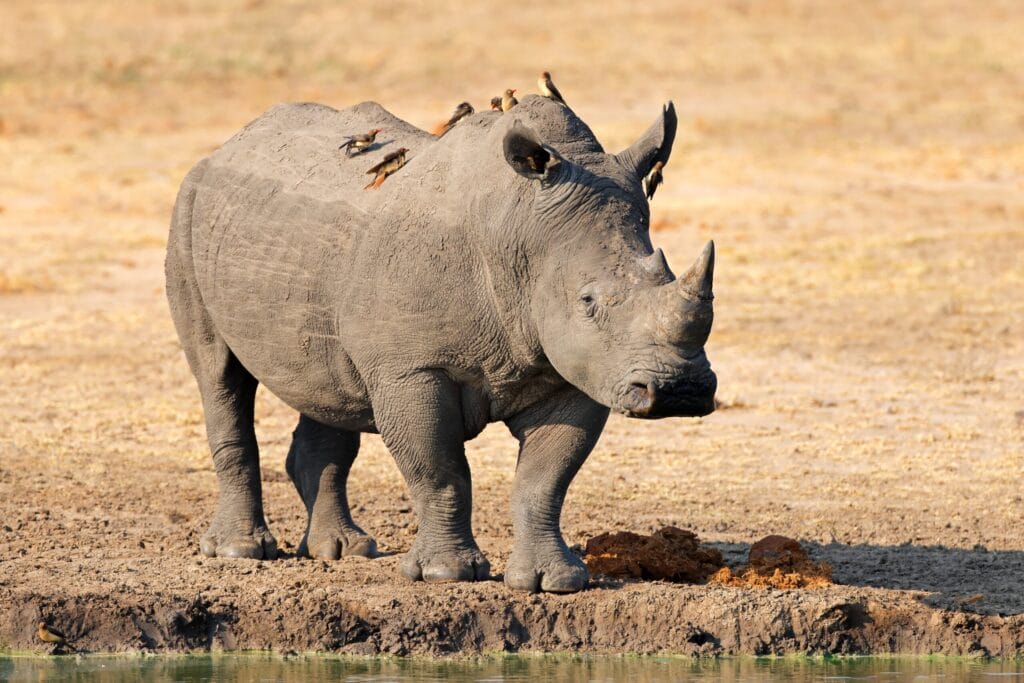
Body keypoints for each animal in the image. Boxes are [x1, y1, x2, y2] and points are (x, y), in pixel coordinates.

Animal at [165, 95, 717, 593]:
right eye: (588, 302)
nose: (681, 391)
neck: (519, 233)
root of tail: (229, 142)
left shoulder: (575, 372)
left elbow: (545, 481)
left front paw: (554, 582)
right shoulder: (411, 369)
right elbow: (439, 469)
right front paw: (445, 574)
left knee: (326, 388)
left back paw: (342, 550)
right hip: (188, 208)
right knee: (219, 375)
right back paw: (240, 551)